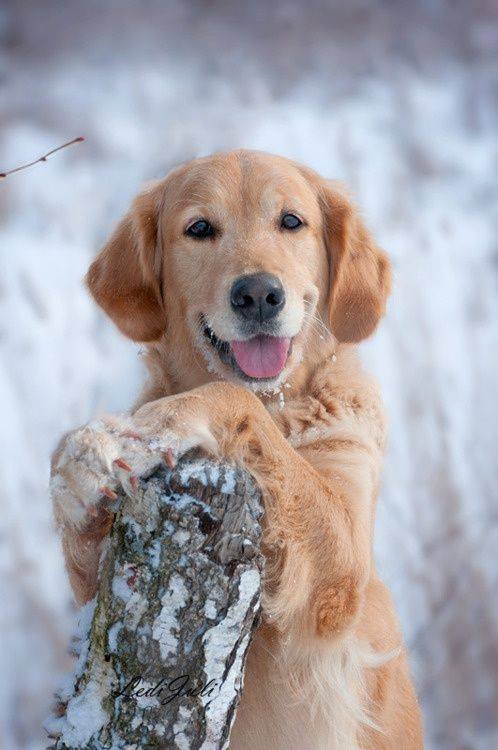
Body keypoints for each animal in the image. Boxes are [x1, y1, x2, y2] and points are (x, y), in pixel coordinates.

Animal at [50, 150, 424, 748]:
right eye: (200, 228)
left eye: (291, 221)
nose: (258, 295)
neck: (278, 405)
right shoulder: (94, 608)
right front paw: (84, 464)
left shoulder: (343, 566)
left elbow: (233, 398)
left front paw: (164, 421)